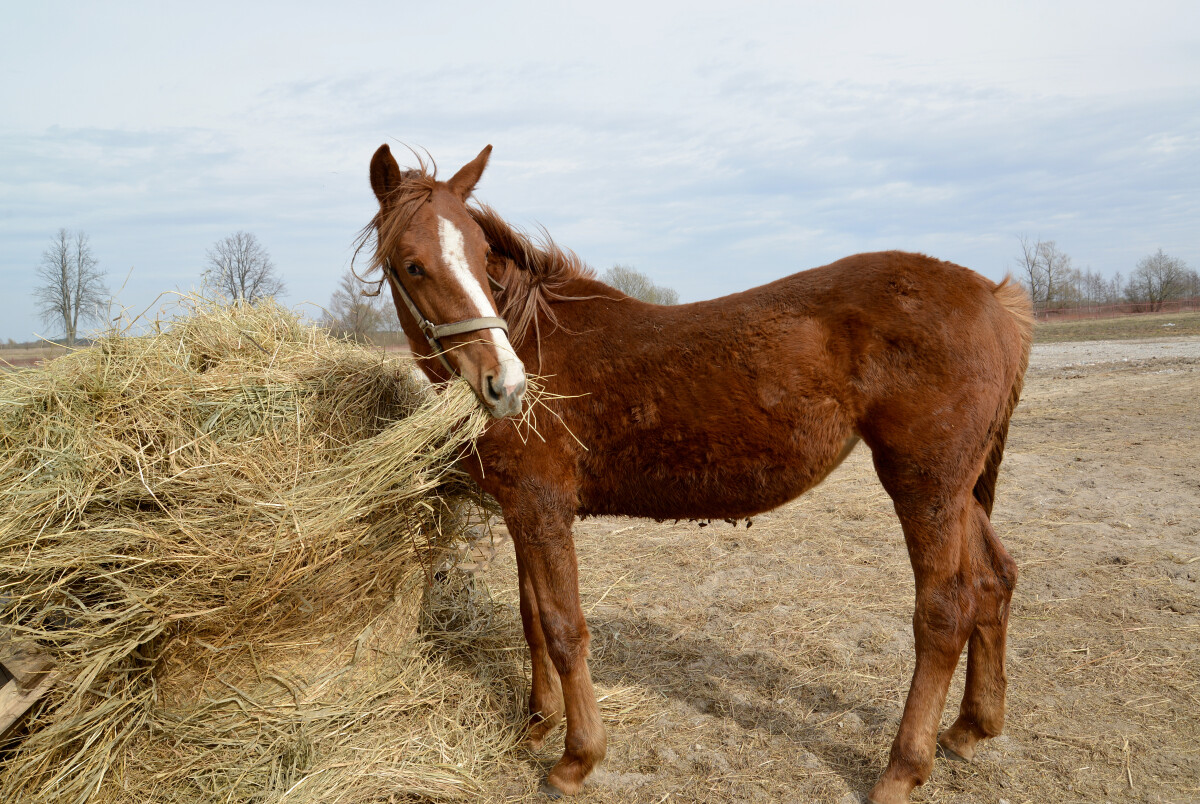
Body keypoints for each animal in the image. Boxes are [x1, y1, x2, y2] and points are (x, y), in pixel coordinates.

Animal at [362, 145, 1032, 804]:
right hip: (958, 492)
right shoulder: (521, 508)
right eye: (412, 265)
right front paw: (536, 724)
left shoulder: (541, 507)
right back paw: (970, 728)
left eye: (481, 258)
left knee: (944, 611)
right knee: (992, 583)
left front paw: (576, 758)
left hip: (925, 488)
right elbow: (532, 619)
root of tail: (991, 296)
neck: (537, 337)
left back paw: (902, 769)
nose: (506, 385)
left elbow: (563, 626)